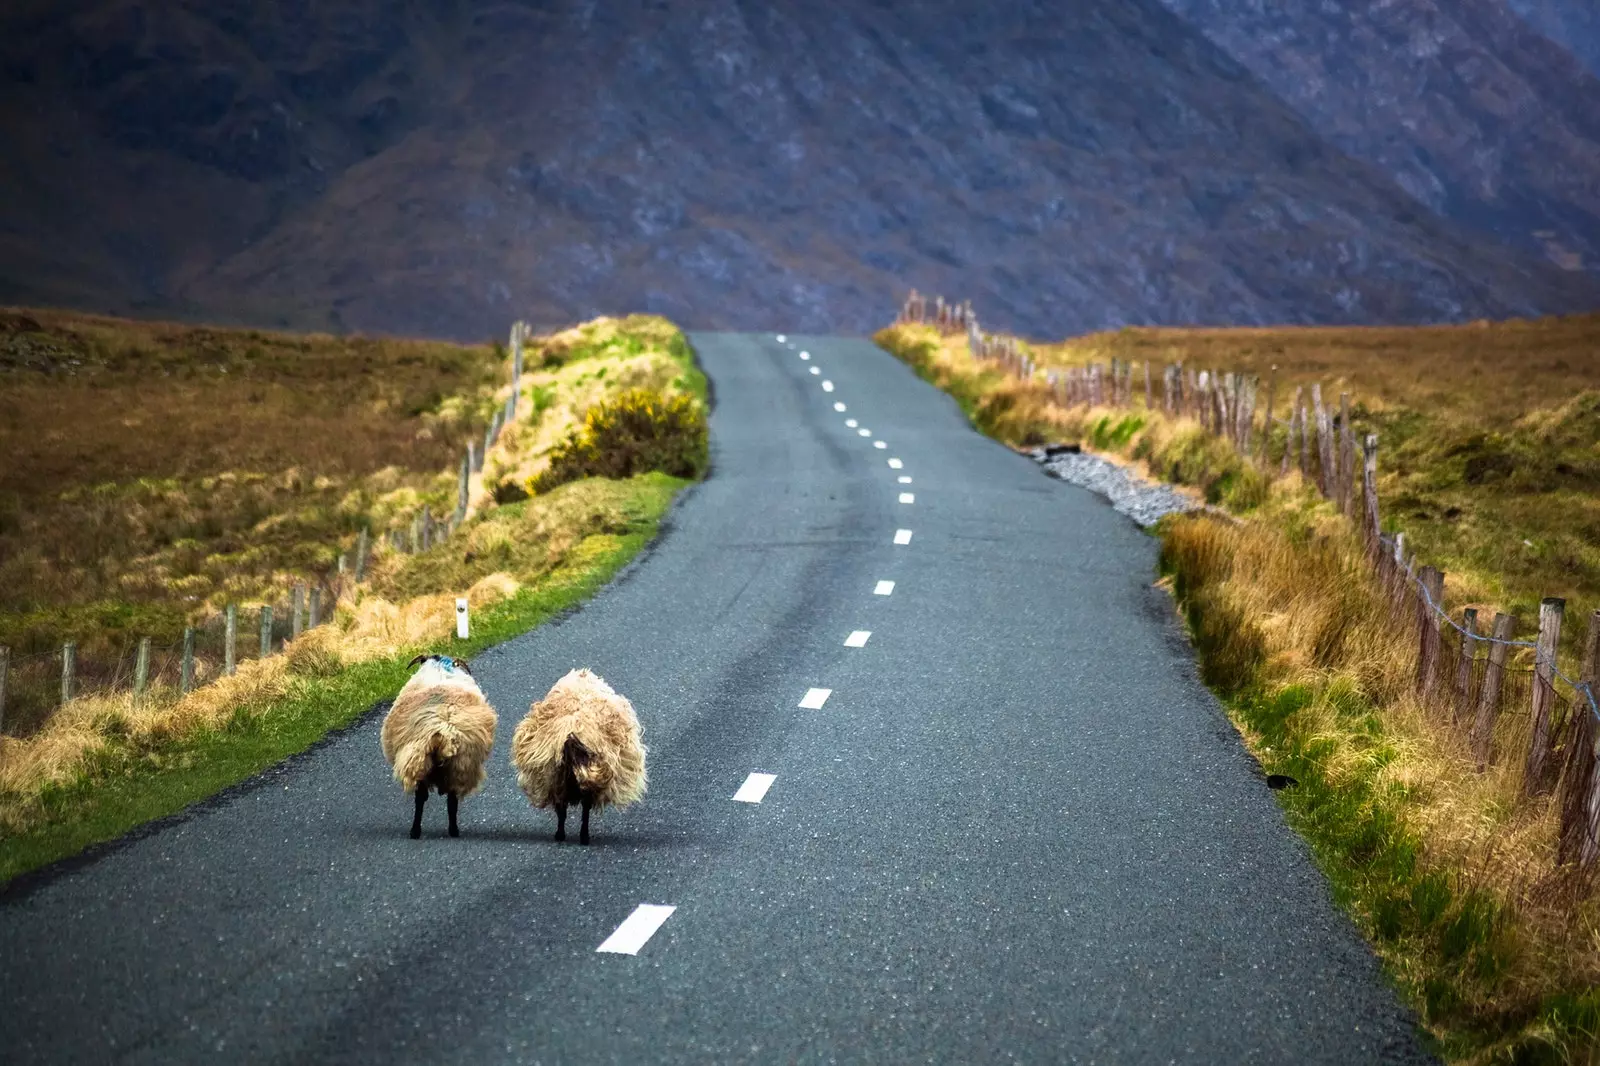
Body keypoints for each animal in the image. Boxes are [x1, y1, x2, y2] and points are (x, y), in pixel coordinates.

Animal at [379, 646, 492, 838]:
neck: (441, 667)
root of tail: (444, 732)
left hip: (420, 761)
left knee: (423, 799)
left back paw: (417, 831)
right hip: (459, 765)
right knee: (452, 801)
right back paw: (452, 831)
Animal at [505, 669, 643, 845]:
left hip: (557, 778)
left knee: (564, 809)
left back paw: (564, 836)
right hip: (564, 779)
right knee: (579, 809)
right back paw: (578, 836)